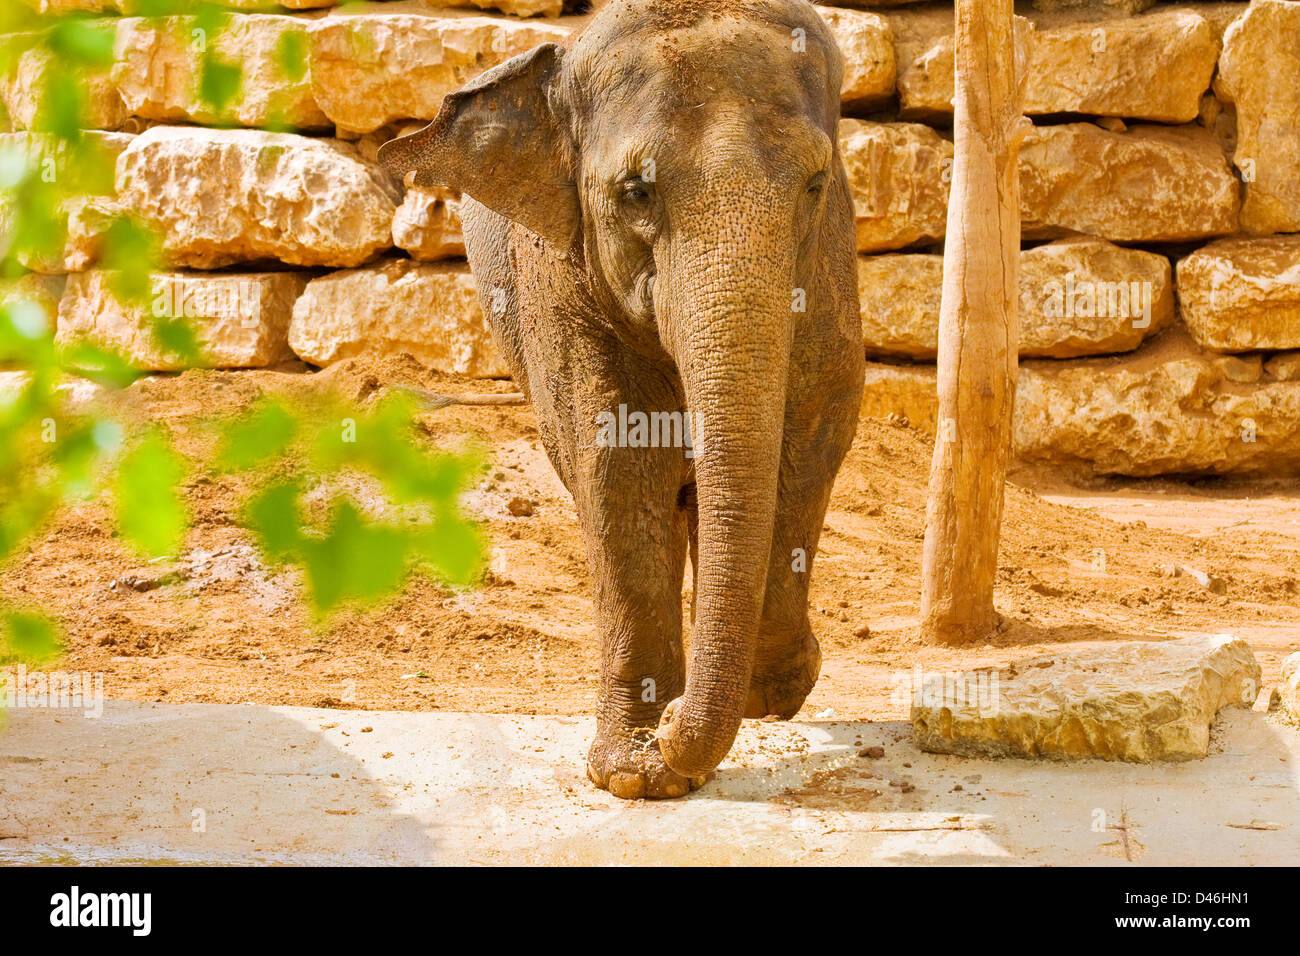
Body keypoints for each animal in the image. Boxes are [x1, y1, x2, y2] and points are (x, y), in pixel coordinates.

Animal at [377, 0, 863, 801]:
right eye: (635, 190)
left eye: (816, 183)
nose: (668, 732)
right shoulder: (560, 278)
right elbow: (617, 461)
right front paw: (637, 772)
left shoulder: (828, 265)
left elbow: (815, 426)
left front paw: (766, 694)